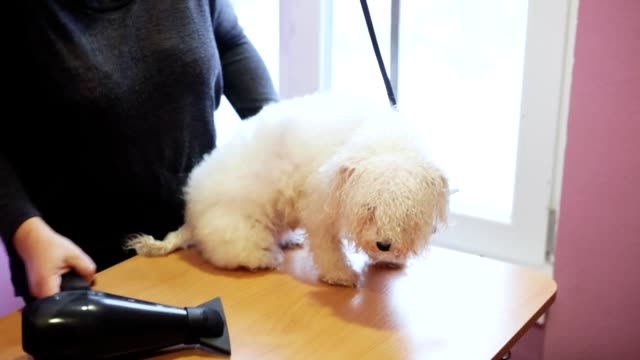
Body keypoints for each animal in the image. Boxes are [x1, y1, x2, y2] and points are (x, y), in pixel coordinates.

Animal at [124, 92, 444, 286]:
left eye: (406, 215)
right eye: (369, 210)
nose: (384, 244)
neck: (381, 141)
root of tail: (191, 219)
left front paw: (386, 259)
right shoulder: (318, 211)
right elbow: (328, 250)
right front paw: (341, 276)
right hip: (241, 230)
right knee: (234, 252)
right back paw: (267, 258)